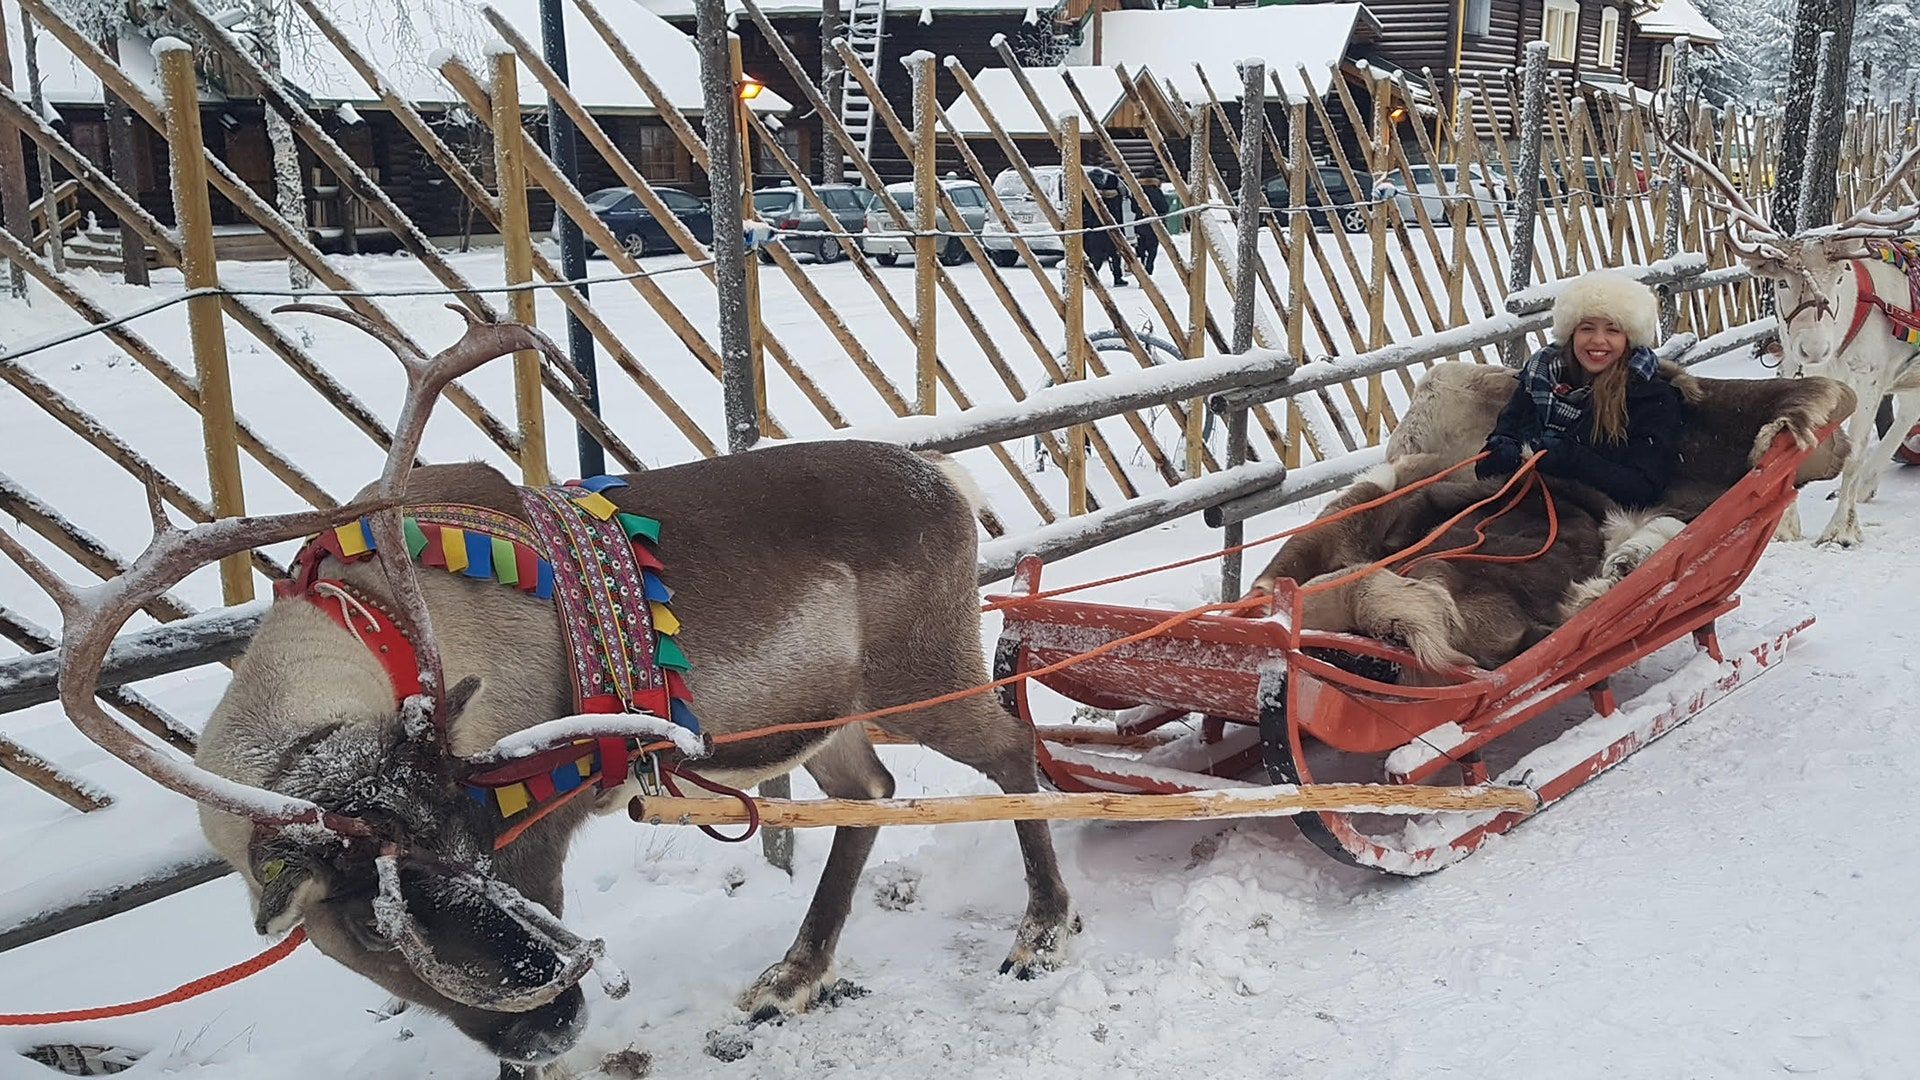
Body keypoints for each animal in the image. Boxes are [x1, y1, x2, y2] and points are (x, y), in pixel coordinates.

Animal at [0, 308, 1079, 1078]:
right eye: (362, 921)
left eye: (478, 847)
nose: (554, 1020)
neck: (376, 630)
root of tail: (950, 480)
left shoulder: (540, 829)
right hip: (827, 714)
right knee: (872, 795)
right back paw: (793, 975)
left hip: (924, 674)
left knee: (1011, 750)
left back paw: (1042, 928)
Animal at [1657, 116, 1920, 547]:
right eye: (1780, 282)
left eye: (1840, 275)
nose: (1813, 348)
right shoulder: (1795, 372)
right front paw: (1785, 528)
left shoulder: (1871, 377)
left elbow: (1854, 451)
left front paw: (1840, 530)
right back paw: (1868, 486)